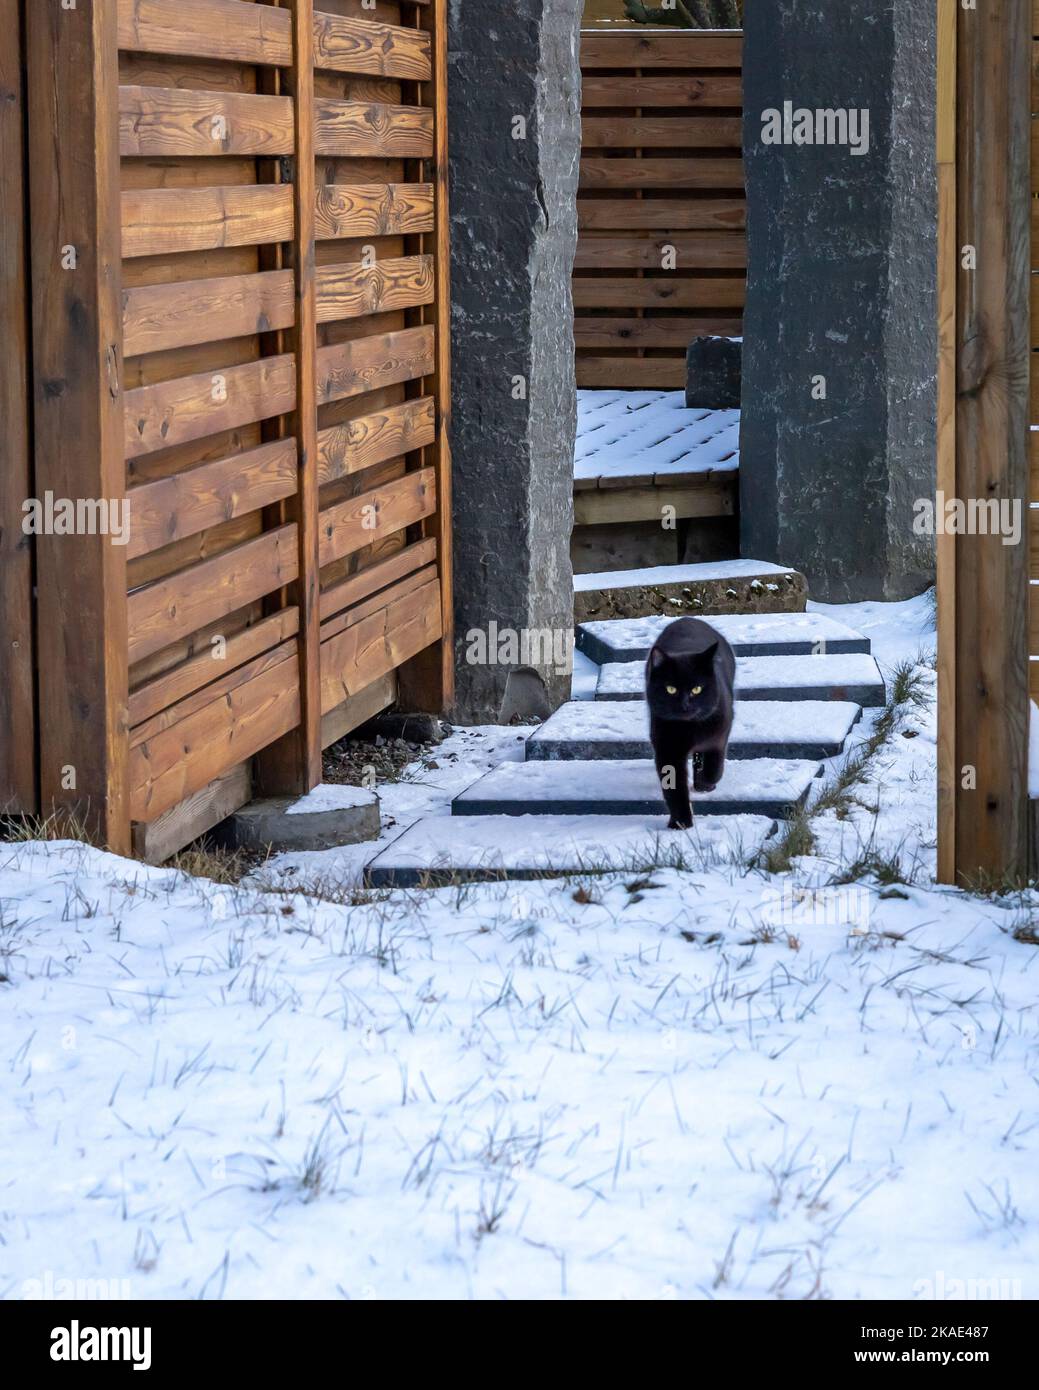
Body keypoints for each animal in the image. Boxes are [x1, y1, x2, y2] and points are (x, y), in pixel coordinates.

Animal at [645, 617, 734, 822]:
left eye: (697, 689)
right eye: (671, 689)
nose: (685, 704)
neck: (690, 729)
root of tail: (687, 618)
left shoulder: (720, 734)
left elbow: (714, 765)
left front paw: (706, 783)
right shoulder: (667, 748)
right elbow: (674, 787)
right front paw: (681, 822)